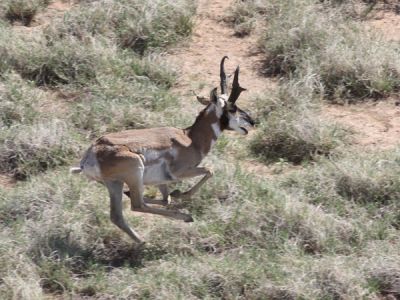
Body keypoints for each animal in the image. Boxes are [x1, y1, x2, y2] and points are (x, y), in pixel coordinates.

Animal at [70, 56, 255, 244]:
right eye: (232, 108)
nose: (252, 121)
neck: (189, 138)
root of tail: (90, 155)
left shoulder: (161, 181)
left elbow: (166, 199)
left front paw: (175, 194)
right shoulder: (180, 172)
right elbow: (209, 171)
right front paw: (181, 194)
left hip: (114, 183)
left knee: (118, 215)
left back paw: (142, 240)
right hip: (135, 171)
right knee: (137, 205)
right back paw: (184, 217)